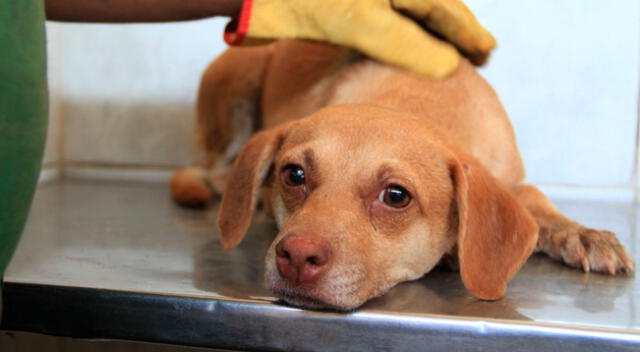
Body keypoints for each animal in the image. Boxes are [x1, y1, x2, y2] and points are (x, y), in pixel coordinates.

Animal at [171, 39, 636, 310]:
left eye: (396, 196)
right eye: (294, 174)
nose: (297, 258)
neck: (413, 98)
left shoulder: (514, 178)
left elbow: (537, 199)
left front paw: (584, 234)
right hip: (236, 77)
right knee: (208, 168)